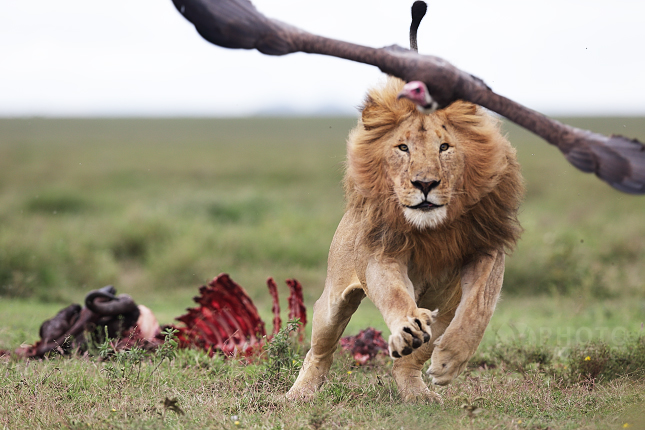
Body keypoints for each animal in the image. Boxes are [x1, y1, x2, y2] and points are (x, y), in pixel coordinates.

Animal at [286, 77, 524, 404]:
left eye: (444, 147)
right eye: (403, 148)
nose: (425, 183)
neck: (433, 228)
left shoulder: (487, 248)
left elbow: (478, 307)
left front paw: (450, 359)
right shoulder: (382, 252)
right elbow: (395, 294)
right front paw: (406, 327)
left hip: (443, 314)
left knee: (408, 362)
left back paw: (418, 392)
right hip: (332, 305)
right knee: (319, 350)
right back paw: (299, 394)